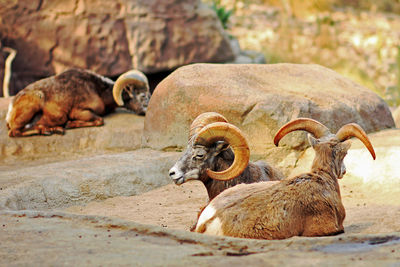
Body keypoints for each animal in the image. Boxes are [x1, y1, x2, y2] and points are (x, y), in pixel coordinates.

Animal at [5, 68, 150, 137]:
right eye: (142, 96)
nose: (146, 111)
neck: (99, 91)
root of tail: (10, 111)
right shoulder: (79, 112)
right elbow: (99, 120)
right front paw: (69, 124)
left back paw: (53, 129)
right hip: (34, 103)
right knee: (14, 132)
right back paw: (50, 130)